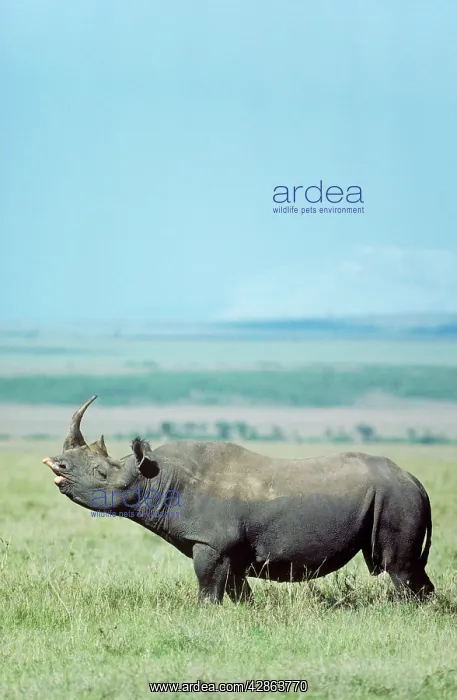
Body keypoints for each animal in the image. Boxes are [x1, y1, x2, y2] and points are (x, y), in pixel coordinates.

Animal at [42, 396, 434, 603]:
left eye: (101, 474)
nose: (55, 465)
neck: (154, 476)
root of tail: (417, 481)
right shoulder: (227, 548)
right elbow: (237, 590)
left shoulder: (211, 543)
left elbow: (208, 588)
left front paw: (205, 616)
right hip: (397, 495)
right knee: (411, 570)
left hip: (396, 498)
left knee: (399, 568)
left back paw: (403, 612)